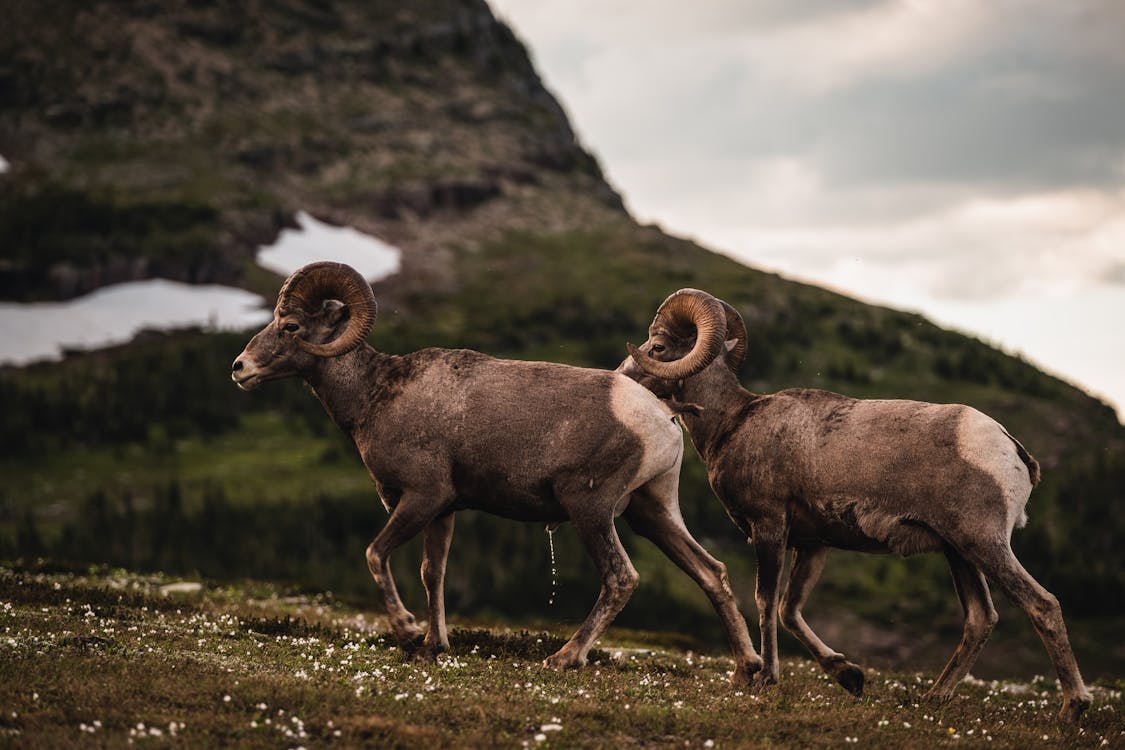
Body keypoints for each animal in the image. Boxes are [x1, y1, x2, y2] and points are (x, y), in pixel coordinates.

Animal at [234, 264, 769, 679]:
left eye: (291, 327)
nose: (240, 368)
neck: (376, 395)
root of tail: (661, 415)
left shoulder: (420, 497)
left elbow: (375, 554)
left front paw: (407, 633)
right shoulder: (443, 512)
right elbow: (433, 573)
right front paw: (433, 647)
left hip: (590, 510)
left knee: (621, 578)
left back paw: (564, 658)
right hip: (652, 512)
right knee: (711, 573)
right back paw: (747, 668)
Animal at [621, 287, 1093, 719]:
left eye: (657, 347)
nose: (621, 375)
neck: (733, 421)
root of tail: (1011, 449)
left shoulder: (769, 528)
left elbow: (765, 601)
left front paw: (767, 678)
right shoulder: (812, 544)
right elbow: (790, 610)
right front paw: (849, 675)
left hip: (984, 544)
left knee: (1042, 604)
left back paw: (1073, 707)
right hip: (959, 553)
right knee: (981, 619)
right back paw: (933, 698)